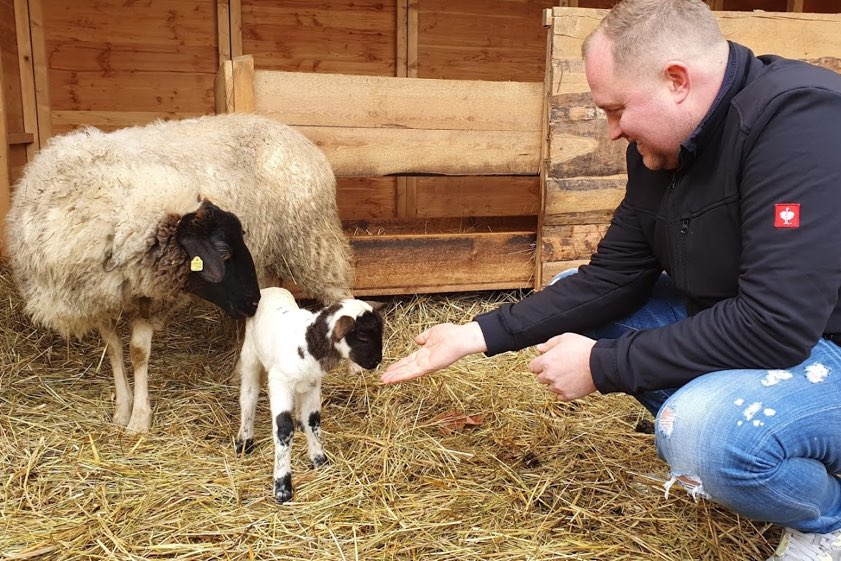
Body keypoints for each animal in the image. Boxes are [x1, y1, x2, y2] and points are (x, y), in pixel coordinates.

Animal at [5, 125, 263, 434]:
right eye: (223, 252)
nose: (254, 301)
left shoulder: (145, 295)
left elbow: (138, 351)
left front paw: (139, 419)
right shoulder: (97, 296)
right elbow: (114, 349)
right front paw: (122, 409)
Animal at [234, 287, 384, 503]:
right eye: (363, 337)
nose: (377, 361)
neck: (307, 342)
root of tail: (270, 289)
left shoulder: (313, 384)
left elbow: (313, 420)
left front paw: (319, 460)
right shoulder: (279, 383)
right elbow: (283, 429)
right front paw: (282, 487)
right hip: (250, 355)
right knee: (248, 395)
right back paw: (245, 439)